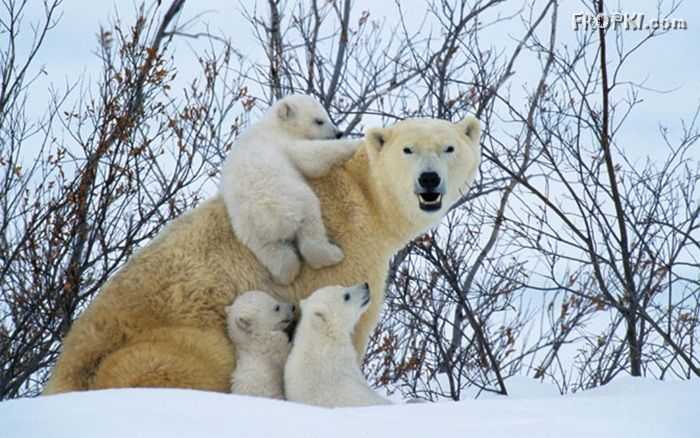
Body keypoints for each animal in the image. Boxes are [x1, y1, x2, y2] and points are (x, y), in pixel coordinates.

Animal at [43, 115, 481, 395]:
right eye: (408, 149)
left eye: (449, 147)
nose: (429, 180)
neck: (366, 200)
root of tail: (63, 375)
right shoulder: (347, 252)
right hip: (168, 345)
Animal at [220, 94, 361, 285]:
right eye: (319, 120)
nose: (338, 133)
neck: (274, 124)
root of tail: (273, 221)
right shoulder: (284, 142)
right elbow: (311, 159)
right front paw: (355, 143)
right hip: (296, 200)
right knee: (311, 227)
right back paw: (333, 254)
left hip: (251, 232)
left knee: (277, 256)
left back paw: (284, 275)